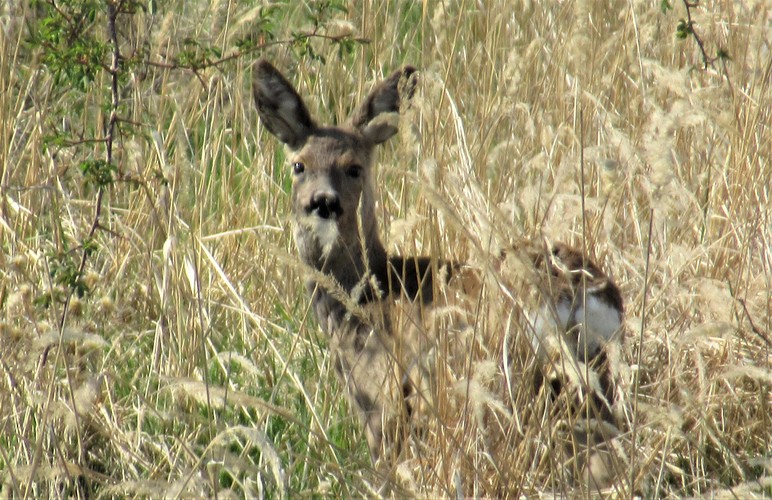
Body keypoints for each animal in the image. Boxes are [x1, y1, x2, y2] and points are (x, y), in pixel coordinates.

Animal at [253, 57, 628, 488]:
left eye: (354, 168)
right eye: (299, 165)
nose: (323, 202)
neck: (364, 296)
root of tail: (584, 296)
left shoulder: (381, 396)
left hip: (501, 378)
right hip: (591, 379)